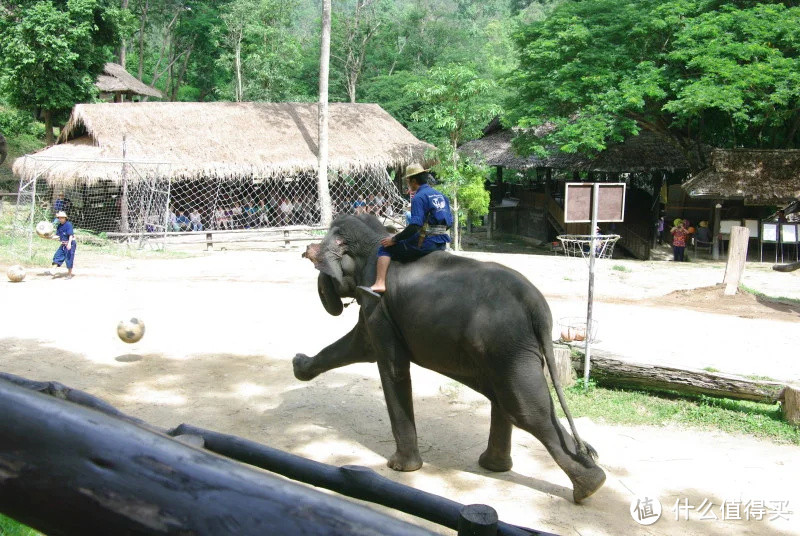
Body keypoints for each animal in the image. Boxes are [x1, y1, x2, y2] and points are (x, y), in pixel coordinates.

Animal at [294, 214, 608, 502]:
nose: (323, 287)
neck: (376, 240)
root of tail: (538, 307)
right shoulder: (377, 310)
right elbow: (360, 346)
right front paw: (298, 365)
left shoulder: (377, 304)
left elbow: (391, 368)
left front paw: (400, 468)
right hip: (505, 349)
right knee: (507, 400)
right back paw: (504, 468)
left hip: (507, 343)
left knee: (528, 410)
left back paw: (590, 487)